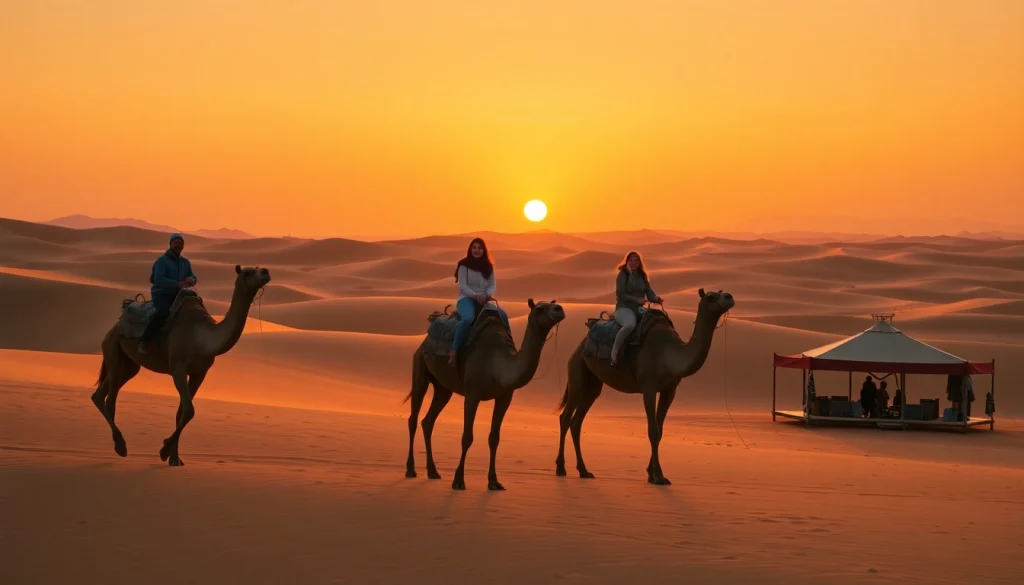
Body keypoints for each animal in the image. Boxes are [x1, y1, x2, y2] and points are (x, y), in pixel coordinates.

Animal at [90, 264, 271, 466]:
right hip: (113, 350)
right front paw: (164, 451)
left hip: (130, 365)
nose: (265, 271)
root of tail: (115, 325)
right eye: (247, 272)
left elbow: (182, 411)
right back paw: (120, 446)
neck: (202, 337)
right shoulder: (178, 368)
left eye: (258, 268)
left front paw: (175, 458)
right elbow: (189, 410)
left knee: (100, 395)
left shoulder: (200, 373)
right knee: (110, 398)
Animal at [404, 298, 565, 491]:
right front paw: (458, 480)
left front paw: (494, 481)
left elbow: (494, 438)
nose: (559, 309)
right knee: (413, 419)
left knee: (428, 421)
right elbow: (467, 437)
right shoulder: (472, 394)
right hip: (420, 367)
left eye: (553, 304)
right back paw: (410, 470)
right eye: (540, 308)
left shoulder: (505, 397)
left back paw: (433, 471)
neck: (498, 364)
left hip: (443, 388)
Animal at [555, 288, 734, 485]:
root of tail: (581, 344)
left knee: (577, 422)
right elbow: (653, 431)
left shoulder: (669, 390)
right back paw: (561, 468)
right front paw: (658, 476)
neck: (670, 355)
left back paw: (584, 471)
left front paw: (652, 473)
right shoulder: (649, 388)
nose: (729, 297)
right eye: (711, 297)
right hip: (577, 373)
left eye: (722, 293)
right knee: (565, 417)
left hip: (593, 383)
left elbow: (660, 430)